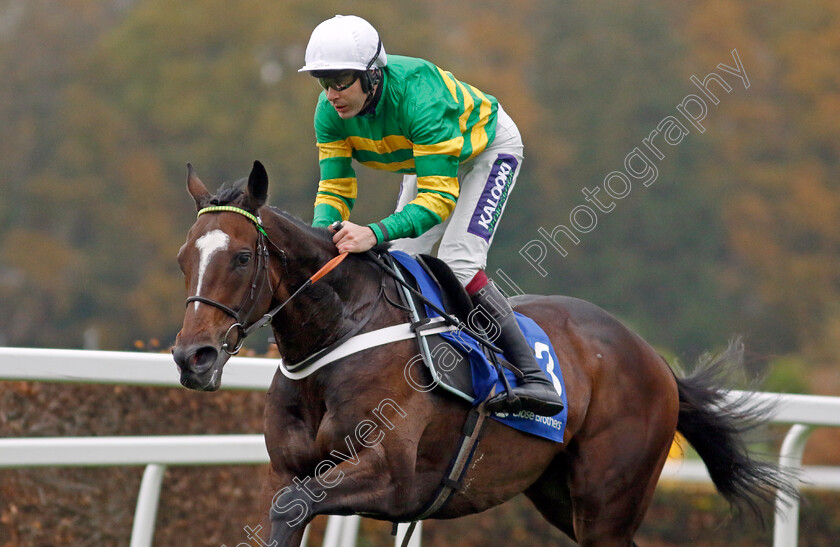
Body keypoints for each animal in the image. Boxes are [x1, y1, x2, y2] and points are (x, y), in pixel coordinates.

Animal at [172, 161, 796, 544]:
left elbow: (293, 506)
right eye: (183, 258)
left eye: (242, 258)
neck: (338, 336)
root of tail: (655, 361)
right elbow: (282, 511)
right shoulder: (286, 473)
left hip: (609, 502)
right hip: (559, 495)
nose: (191, 357)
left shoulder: (391, 478)